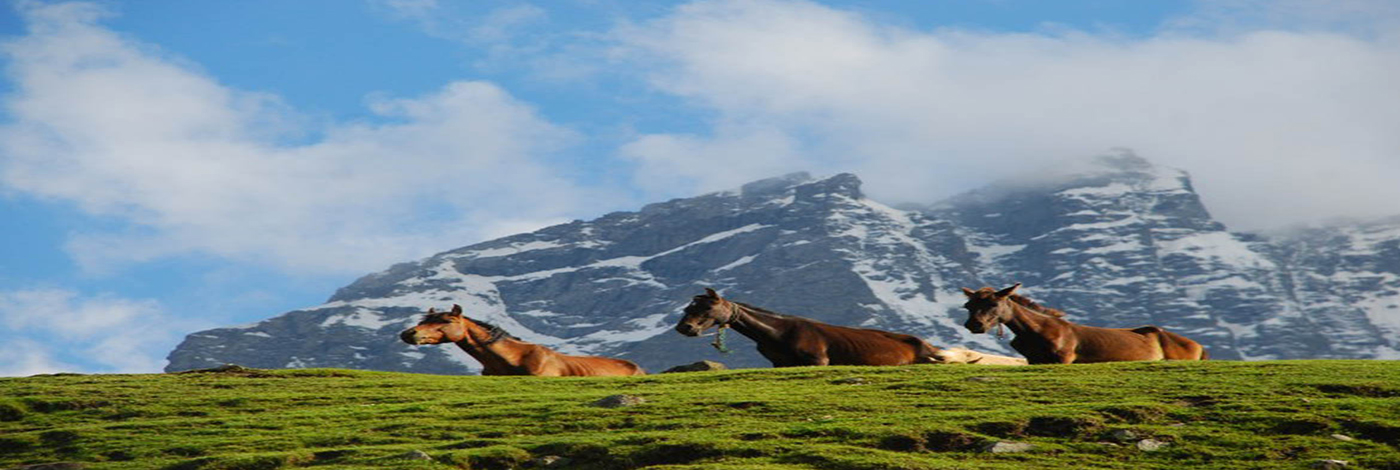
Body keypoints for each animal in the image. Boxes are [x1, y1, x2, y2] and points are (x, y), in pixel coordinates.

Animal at [674, 286, 940, 366]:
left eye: (707, 308)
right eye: (689, 306)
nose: (685, 328)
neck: (778, 333)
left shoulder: (818, 362)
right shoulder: (780, 365)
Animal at [957, 282, 1209, 363]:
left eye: (993, 304)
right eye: (968, 305)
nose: (975, 326)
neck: (1035, 331)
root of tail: (1198, 346)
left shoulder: (1064, 360)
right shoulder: (1035, 361)